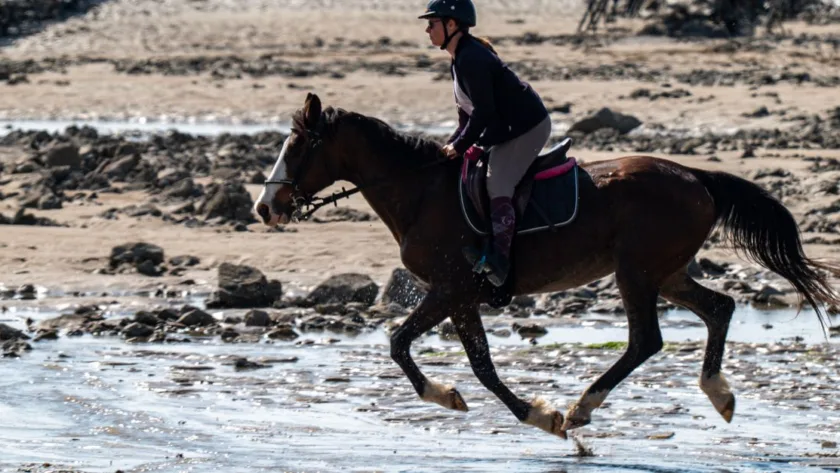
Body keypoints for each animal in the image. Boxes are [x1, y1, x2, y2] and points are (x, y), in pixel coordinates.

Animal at [254, 93, 840, 439]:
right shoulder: (462, 297)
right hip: (666, 271)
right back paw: (718, 394)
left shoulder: (448, 288)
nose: (265, 207)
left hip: (636, 272)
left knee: (646, 340)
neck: (420, 192)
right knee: (719, 307)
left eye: (299, 146)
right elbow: (482, 366)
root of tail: (697, 177)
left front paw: (531, 414)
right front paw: (525, 411)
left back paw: (583, 406)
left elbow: (402, 344)